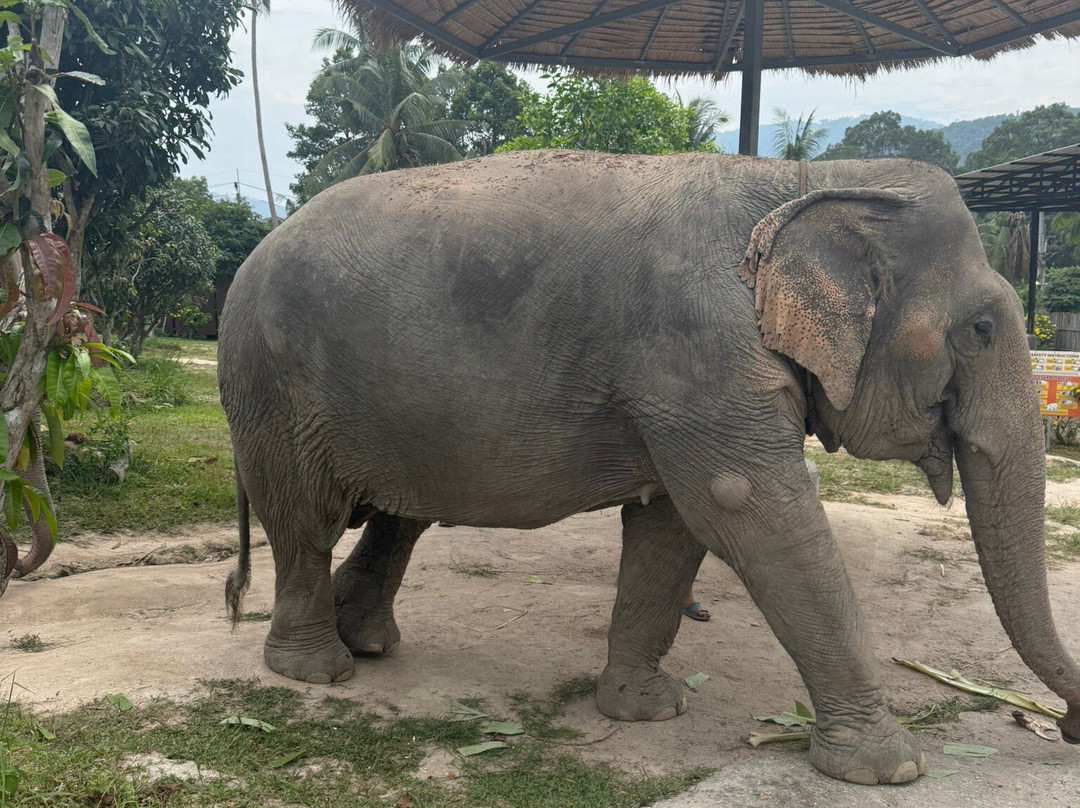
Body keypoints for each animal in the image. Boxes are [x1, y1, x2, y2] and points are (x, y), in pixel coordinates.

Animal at [217, 150, 1080, 785]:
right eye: (979, 330)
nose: (1066, 728)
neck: (803, 179)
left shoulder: (689, 386)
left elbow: (672, 528)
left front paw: (649, 712)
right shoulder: (699, 351)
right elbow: (746, 507)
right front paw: (891, 769)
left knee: (400, 517)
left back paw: (367, 643)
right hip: (274, 389)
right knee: (307, 520)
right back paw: (319, 671)